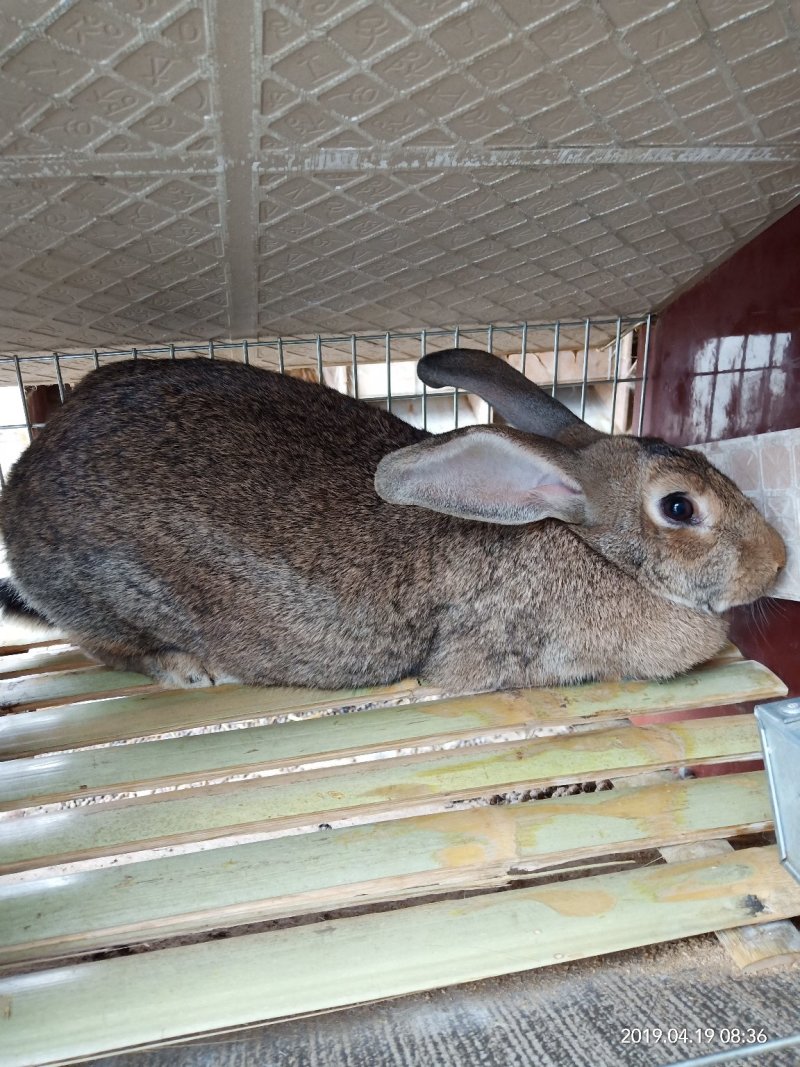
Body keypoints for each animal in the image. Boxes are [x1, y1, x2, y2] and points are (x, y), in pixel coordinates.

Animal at [0, 349, 789, 691]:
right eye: (680, 507)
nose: (778, 559)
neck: (590, 547)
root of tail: (19, 494)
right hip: (107, 598)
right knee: (108, 646)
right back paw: (186, 668)